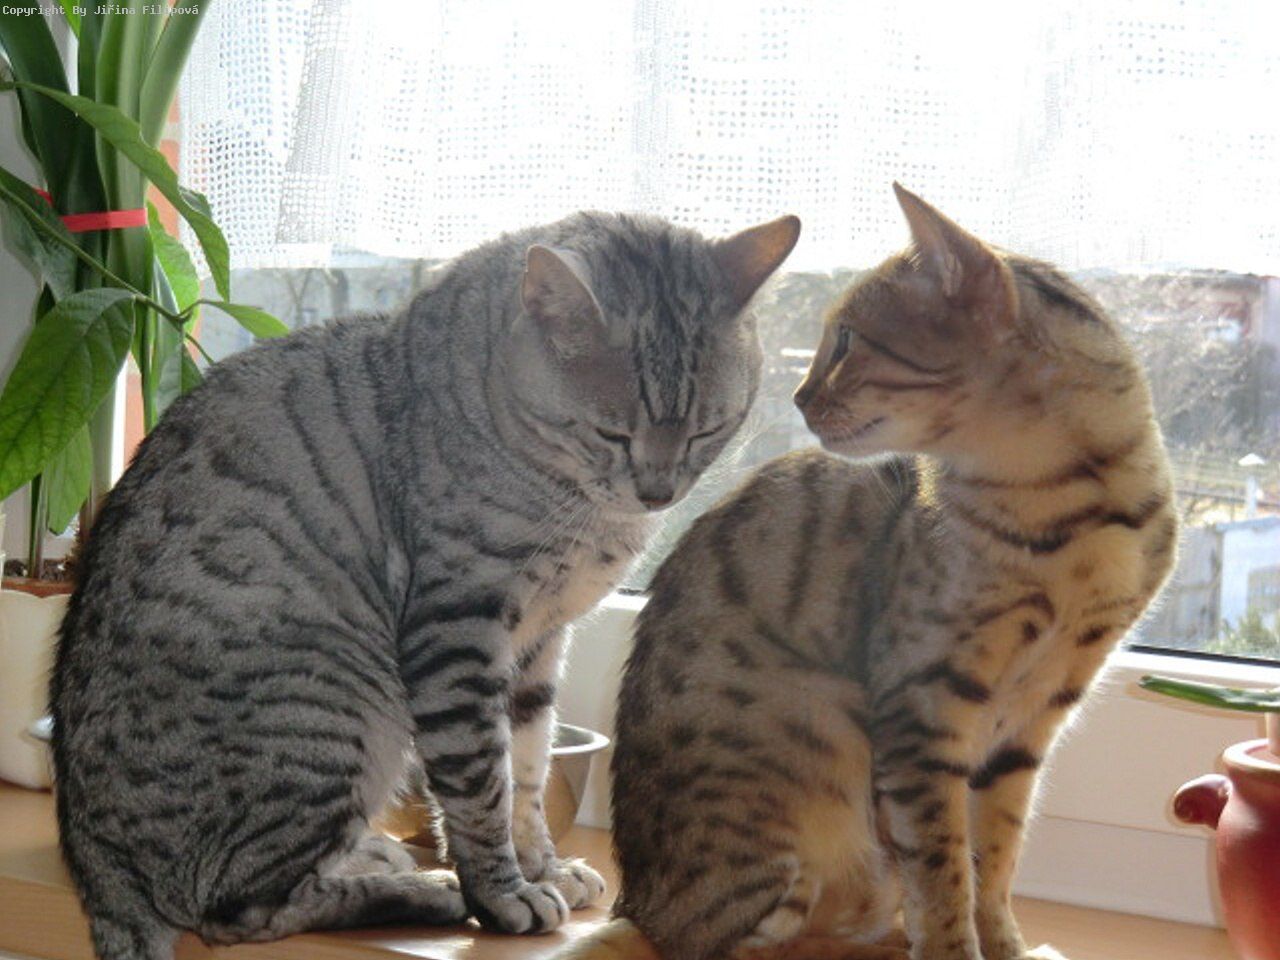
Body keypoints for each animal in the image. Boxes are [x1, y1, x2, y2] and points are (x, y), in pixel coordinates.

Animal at [50, 210, 801, 960]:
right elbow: (481, 784)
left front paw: (543, 865)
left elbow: (528, 767)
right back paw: (425, 891)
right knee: (241, 908)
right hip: (336, 712)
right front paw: (503, 893)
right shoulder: (460, 628)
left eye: (708, 429)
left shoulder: (539, 644)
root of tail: (95, 871)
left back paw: (378, 857)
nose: (658, 491)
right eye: (611, 433)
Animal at [567, 186, 1177, 960]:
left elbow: (995, 861)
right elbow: (944, 873)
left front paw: (1005, 945)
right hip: (803, 783)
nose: (799, 396)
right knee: (744, 947)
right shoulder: (923, 705)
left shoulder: (1033, 719)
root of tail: (636, 905)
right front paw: (957, 949)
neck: (1078, 514)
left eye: (849, 340)